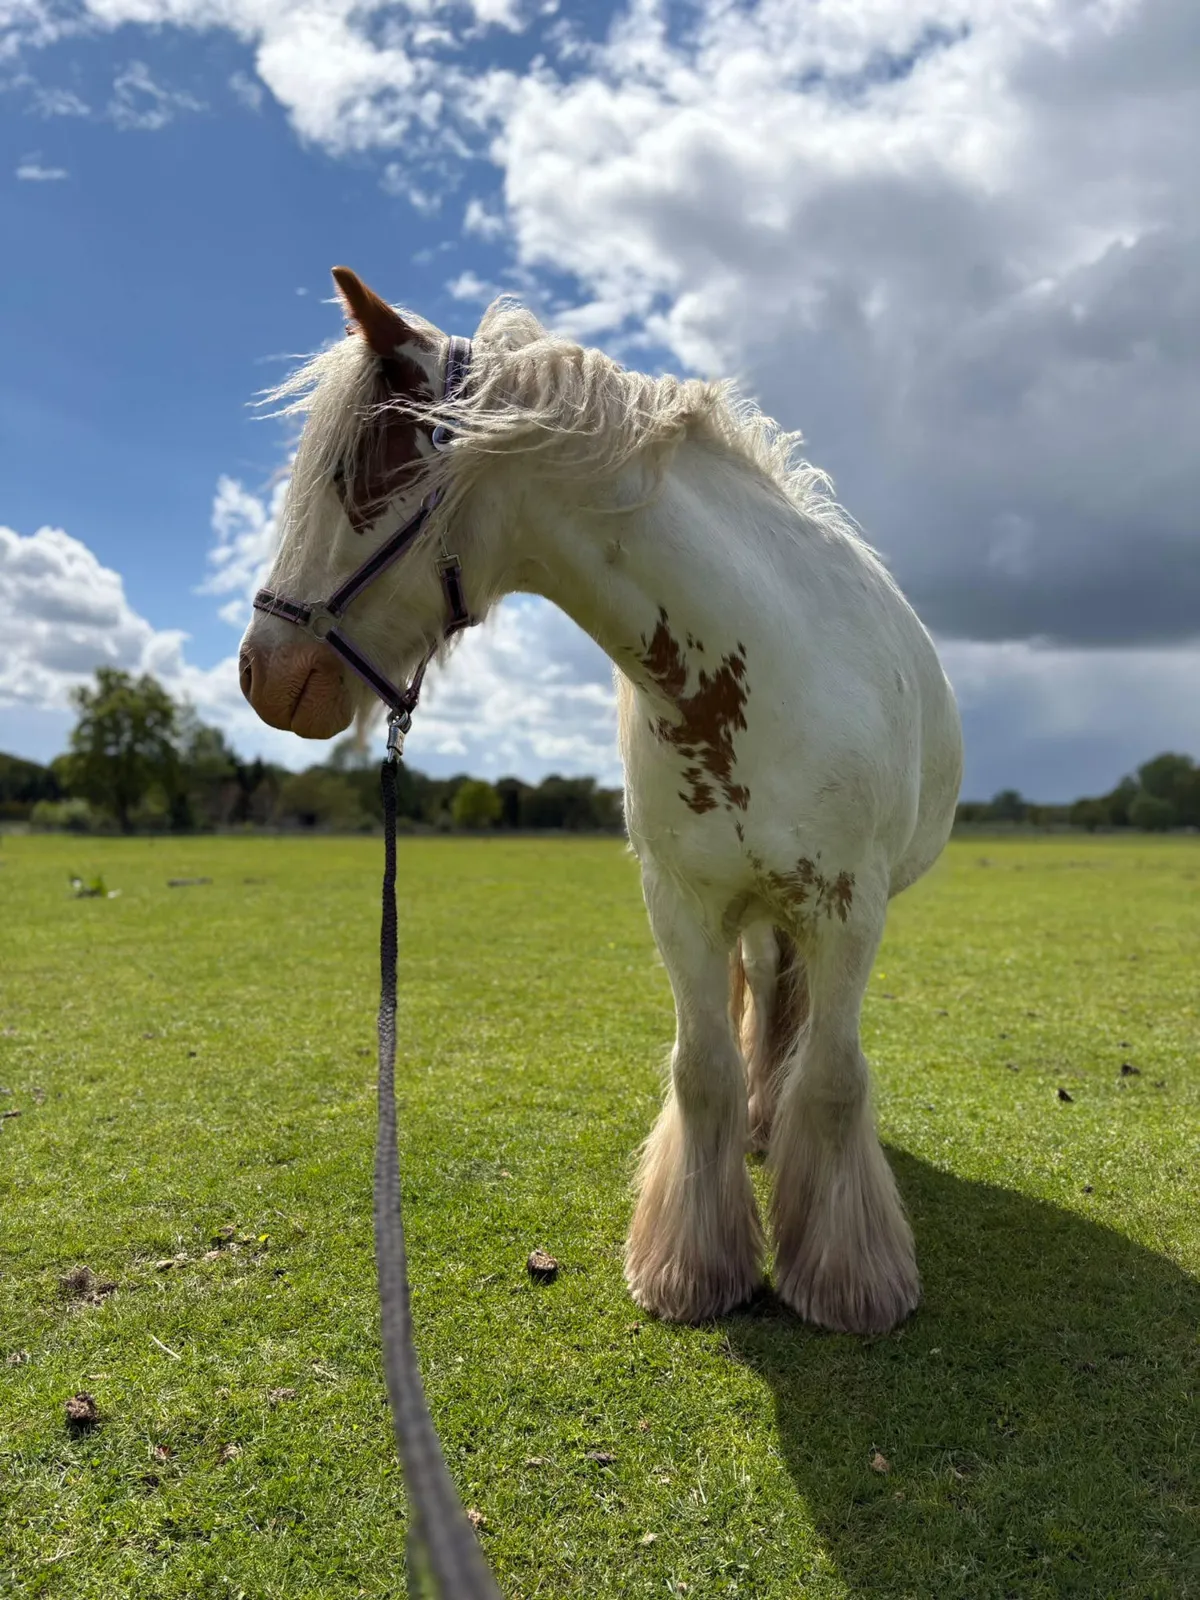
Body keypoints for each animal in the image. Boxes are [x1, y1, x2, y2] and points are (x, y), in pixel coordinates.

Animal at [239, 266, 964, 1335]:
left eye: (362, 472)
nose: (263, 672)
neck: (754, 674)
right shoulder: (682, 902)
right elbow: (703, 1071)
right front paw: (692, 1268)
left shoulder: (851, 909)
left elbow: (833, 1080)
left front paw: (846, 1281)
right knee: (765, 1003)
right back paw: (762, 1125)